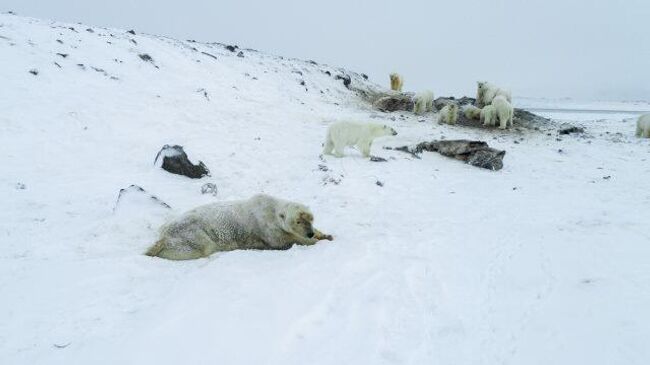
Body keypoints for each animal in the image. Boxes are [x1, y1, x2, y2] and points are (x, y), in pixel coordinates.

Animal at [144, 193, 332, 258]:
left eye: (311, 219)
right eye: (298, 221)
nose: (309, 233)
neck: (271, 209)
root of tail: (163, 233)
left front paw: (325, 234)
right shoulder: (267, 228)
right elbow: (284, 241)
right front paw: (314, 241)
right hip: (191, 233)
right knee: (200, 247)